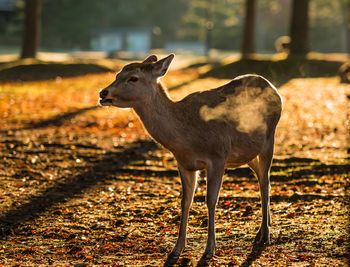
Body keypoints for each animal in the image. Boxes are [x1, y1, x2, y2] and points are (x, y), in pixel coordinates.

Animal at [98, 54, 282, 264]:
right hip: (248, 153)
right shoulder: (184, 164)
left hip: (269, 139)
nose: (103, 92)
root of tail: (274, 89)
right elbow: (185, 201)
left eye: (133, 78)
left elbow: (211, 200)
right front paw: (176, 249)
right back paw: (263, 229)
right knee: (262, 180)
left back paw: (266, 235)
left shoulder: (218, 155)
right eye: (117, 74)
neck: (187, 139)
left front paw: (209, 249)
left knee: (265, 182)